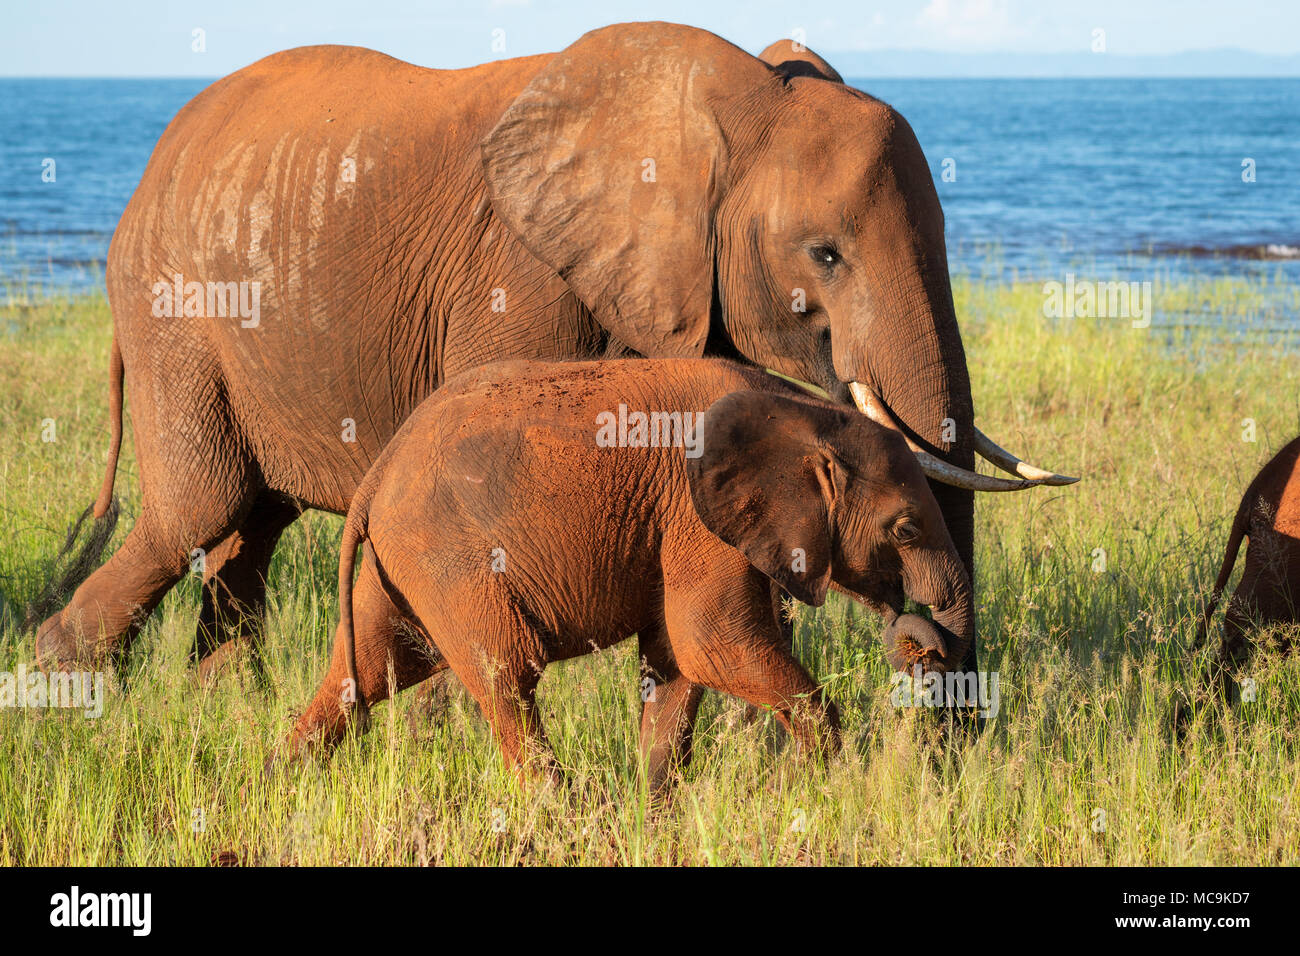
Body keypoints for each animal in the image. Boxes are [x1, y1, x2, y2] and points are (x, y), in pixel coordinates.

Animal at [40, 22, 1076, 681]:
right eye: (825, 254)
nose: (922, 656)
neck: (729, 95)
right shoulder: (521, 274)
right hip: (176, 313)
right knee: (199, 508)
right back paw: (58, 679)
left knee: (249, 524)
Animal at [287, 356, 977, 790]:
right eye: (905, 530)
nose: (921, 645)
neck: (800, 414)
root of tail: (378, 471)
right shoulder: (695, 515)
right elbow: (713, 644)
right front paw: (832, 782)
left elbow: (677, 663)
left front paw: (656, 812)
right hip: (449, 557)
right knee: (507, 675)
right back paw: (560, 814)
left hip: (404, 560)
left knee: (368, 670)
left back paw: (284, 782)